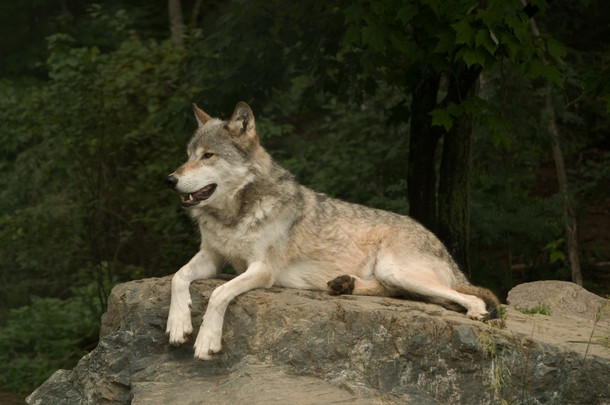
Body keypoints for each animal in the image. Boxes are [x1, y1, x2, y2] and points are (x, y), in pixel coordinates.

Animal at [164, 102, 496, 360]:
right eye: (189, 155)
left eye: (208, 156)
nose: (170, 179)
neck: (233, 216)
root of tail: (440, 243)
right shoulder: (212, 257)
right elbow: (178, 276)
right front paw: (178, 324)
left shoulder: (262, 269)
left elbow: (219, 293)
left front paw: (206, 340)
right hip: (392, 275)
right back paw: (343, 284)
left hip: (397, 270)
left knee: (469, 298)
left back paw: (476, 313)